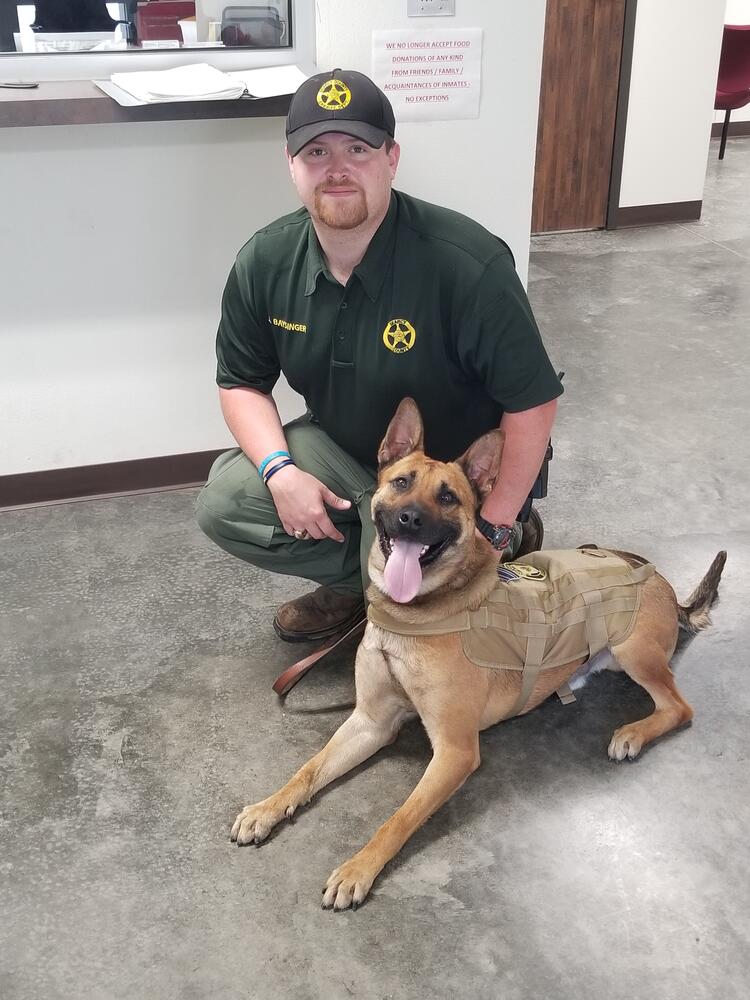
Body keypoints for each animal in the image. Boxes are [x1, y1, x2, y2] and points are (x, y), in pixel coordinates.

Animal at [231, 396, 728, 908]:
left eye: (448, 497)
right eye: (402, 482)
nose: (410, 519)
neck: (413, 616)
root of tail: (661, 580)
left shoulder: (455, 753)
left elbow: (398, 819)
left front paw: (358, 869)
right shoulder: (370, 722)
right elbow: (307, 771)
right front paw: (267, 807)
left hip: (634, 651)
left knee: (679, 707)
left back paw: (632, 733)